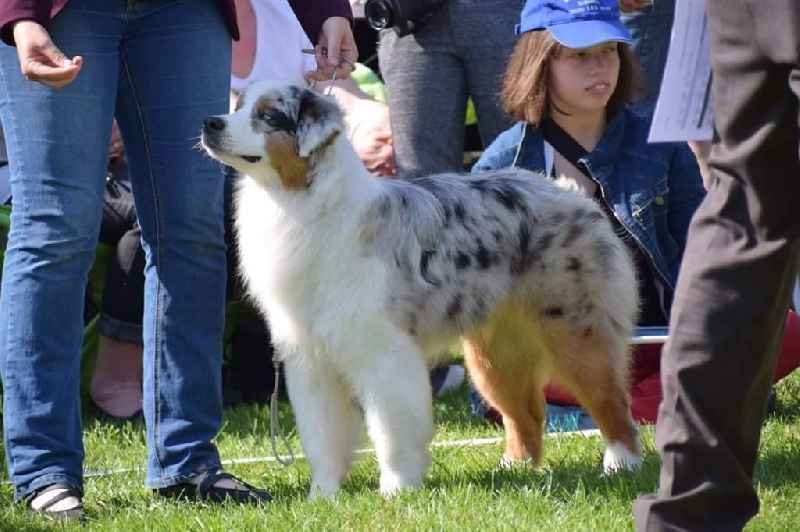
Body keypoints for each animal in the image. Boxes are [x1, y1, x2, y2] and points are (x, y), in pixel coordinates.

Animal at [201, 78, 642, 499]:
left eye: (267, 116)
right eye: (239, 107)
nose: (210, 123)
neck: (300, 202)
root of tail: (568, 193)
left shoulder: (384, 354)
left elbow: (390, 430)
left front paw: (397, 490)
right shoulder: (310, 361)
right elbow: (322, 437)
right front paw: (322, 496)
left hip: (576, 333)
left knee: (613, 403)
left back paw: (621, 466)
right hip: (494, 356)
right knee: (527, 416)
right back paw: (515, 471)